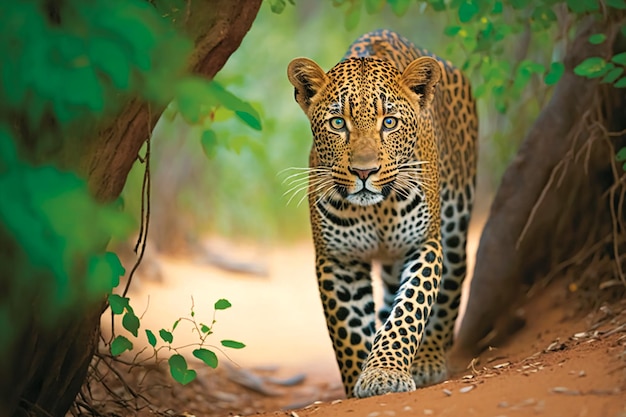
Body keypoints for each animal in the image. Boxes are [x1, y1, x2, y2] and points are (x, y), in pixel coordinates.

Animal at [286, 27, 476, 398]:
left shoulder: (422, 244)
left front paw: (384, 372)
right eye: (337, 123)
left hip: (455, 221)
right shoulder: (339, 258)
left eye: (389, 122)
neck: (379, 210)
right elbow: (350, 328)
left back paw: (429, 359)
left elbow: (408, 311)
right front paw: (360, 378)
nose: (364, 172)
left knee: (451, 286)